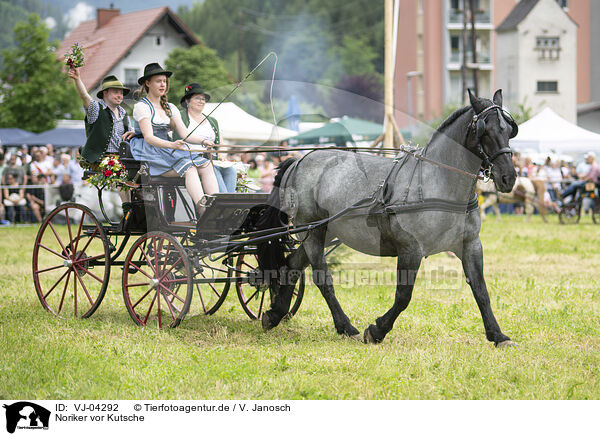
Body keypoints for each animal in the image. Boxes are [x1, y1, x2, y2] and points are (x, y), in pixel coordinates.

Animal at [251, 88, 516, 348]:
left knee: (291, 265)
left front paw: (498, 335)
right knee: (322, 277)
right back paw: (346, 327)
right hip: (312, 230)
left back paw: (274, 314)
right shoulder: (410, 249)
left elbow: (481, 290)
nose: (508, 177)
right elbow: (403, 296)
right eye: (485, 130)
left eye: (508, 129)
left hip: (324, 231)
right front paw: (377, 330)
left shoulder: (470, 245)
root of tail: (299, 160)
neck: (440, 183)